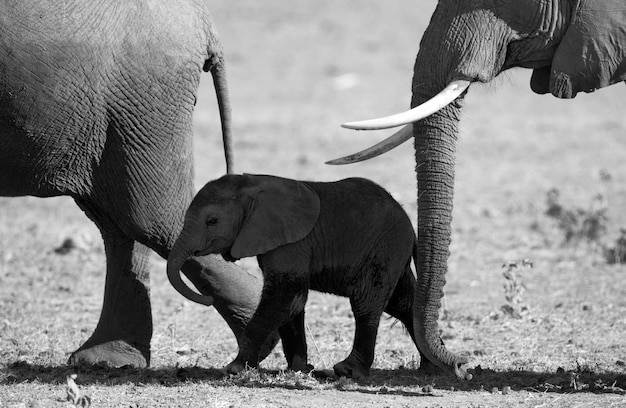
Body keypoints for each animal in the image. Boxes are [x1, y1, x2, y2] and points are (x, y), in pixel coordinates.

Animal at [167, 173, 424, 380]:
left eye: (212, 221)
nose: (208, 300)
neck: (253, 185)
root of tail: (410, 227)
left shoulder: (291, 243)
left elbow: (285, 296)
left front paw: (234, 369)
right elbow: (293, 302)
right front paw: (299, 369)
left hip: (384, 248)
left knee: (366, 304)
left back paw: (348, 371)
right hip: (392, 252)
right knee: (403, 304)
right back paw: (429, 369)